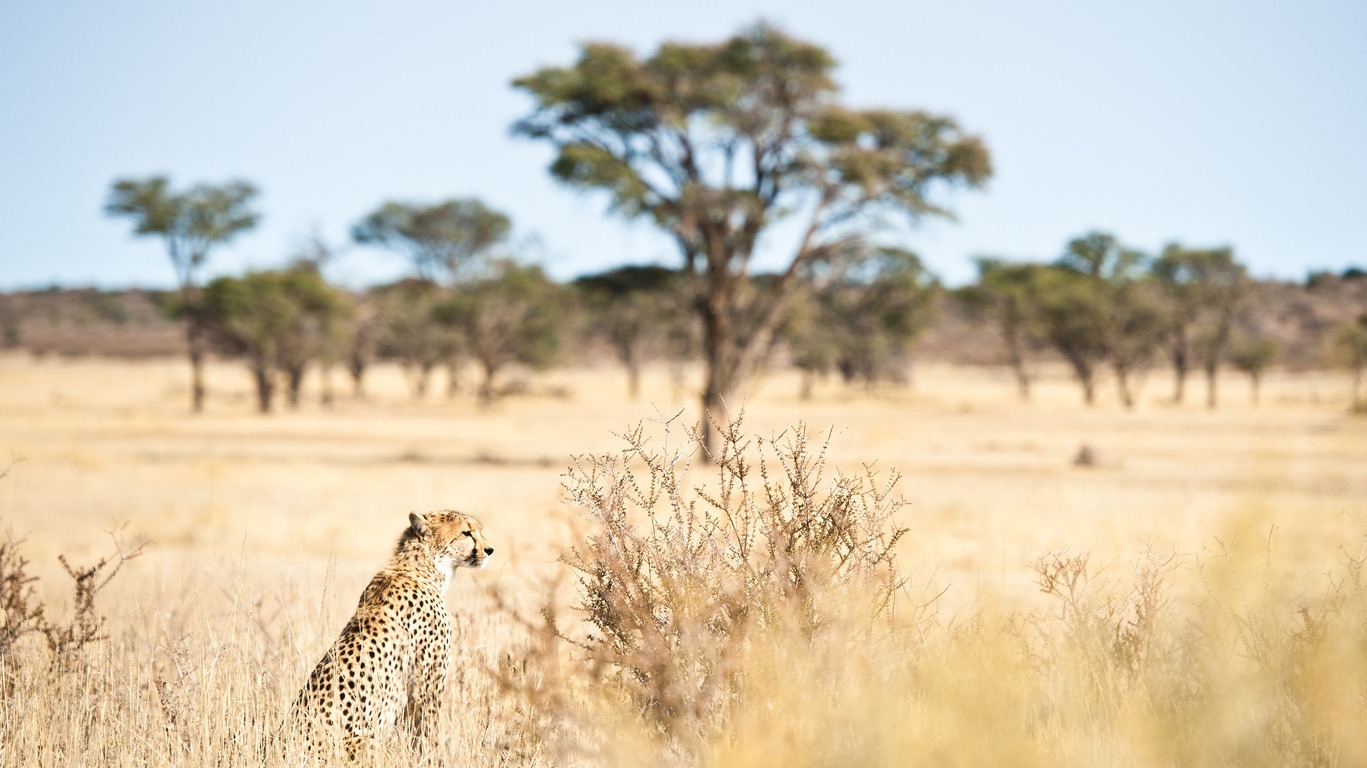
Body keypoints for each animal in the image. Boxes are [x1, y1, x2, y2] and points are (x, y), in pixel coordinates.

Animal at [288, 508, 497, 759]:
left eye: (479, 530)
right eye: (466, 532)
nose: (490, 549)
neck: (425, 567)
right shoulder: (427, 683)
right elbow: (427, 731)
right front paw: (431, 758)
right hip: (366, 741)